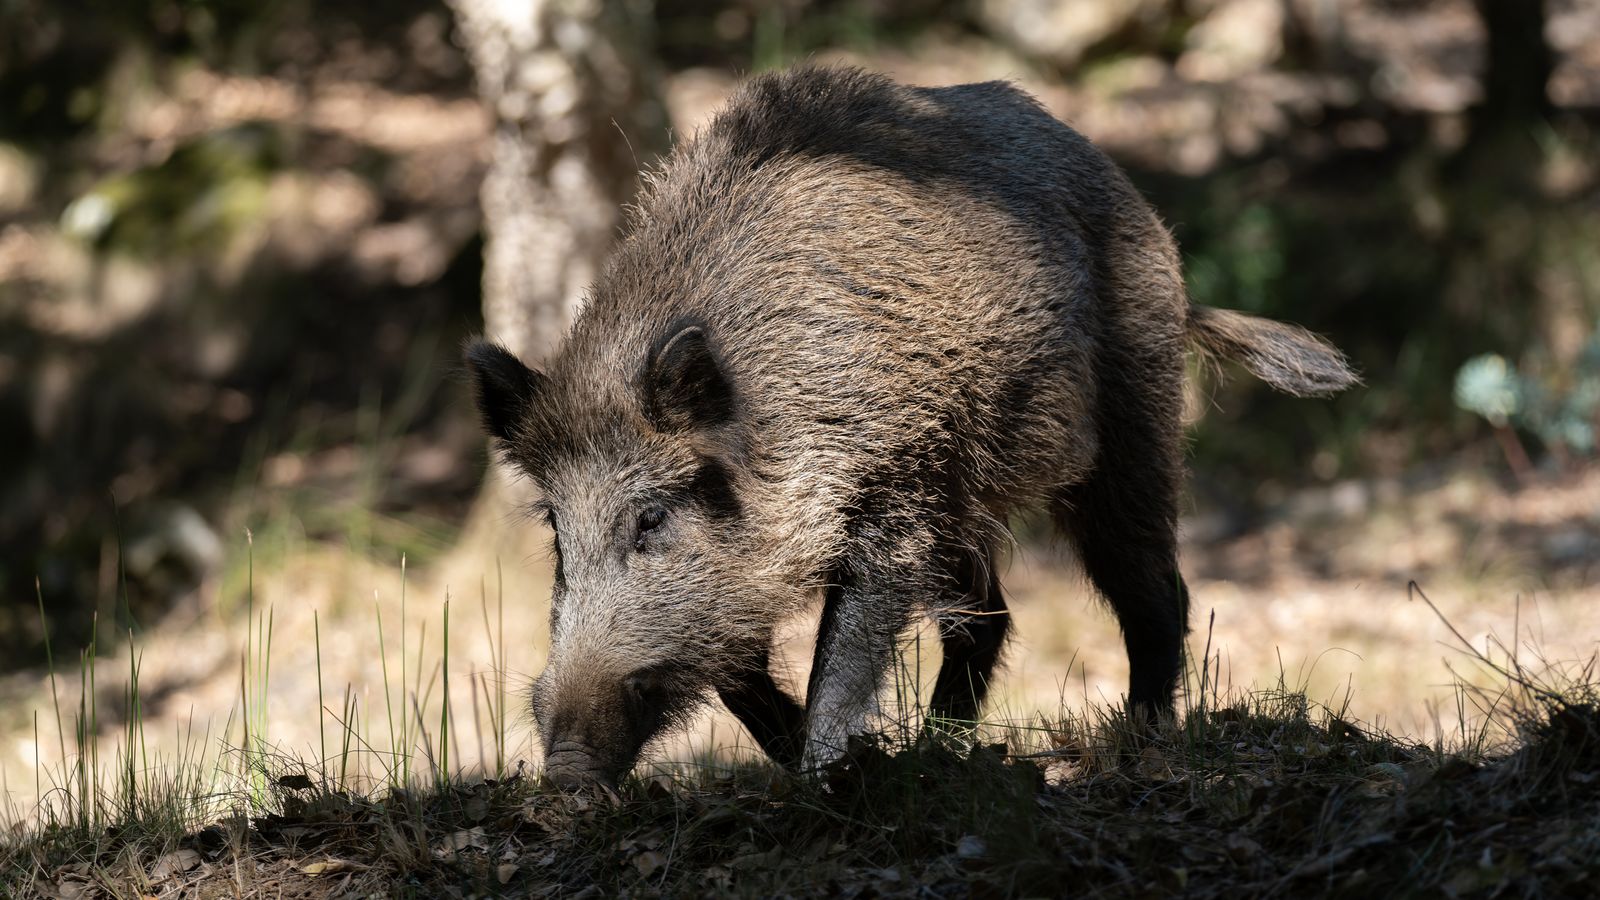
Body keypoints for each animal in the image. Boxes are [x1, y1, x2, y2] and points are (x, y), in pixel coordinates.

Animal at [464, 65, 1357, 789]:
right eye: (555, 531)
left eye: (650, 518)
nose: (566, 772)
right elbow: (738, 670)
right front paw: (814, 759)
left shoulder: (895, 490)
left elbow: (843, 652)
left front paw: (822, 777)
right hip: (967, 494)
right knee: (990, 619)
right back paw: (940, 752)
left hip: (1127, 431)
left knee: (1154, 591)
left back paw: (1139, 745)